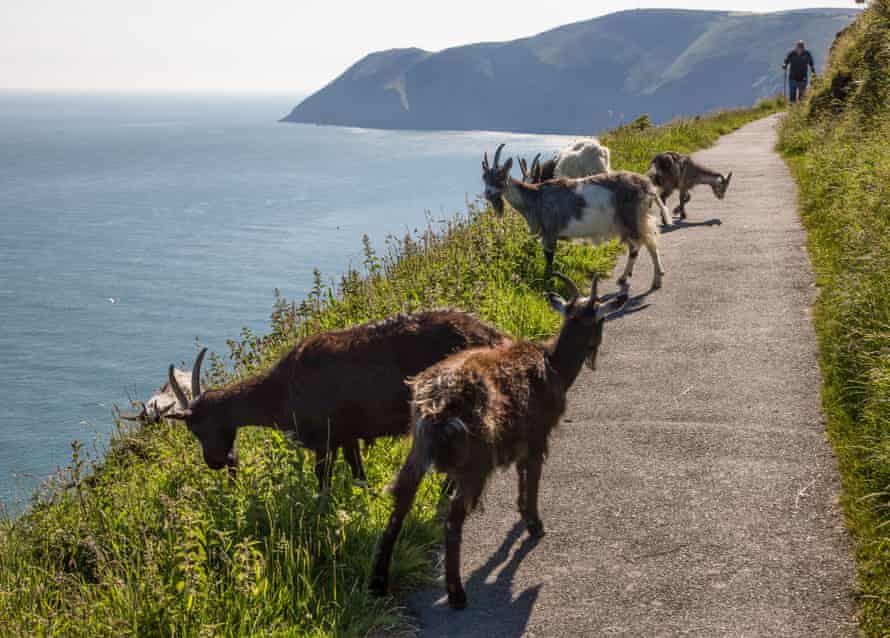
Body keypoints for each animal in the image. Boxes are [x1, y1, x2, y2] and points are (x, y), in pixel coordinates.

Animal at [163, 312, 502, 488]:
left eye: (196, 428)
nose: (215, 462)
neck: (280, 391)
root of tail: (495, 337)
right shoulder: (347, 435)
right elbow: (358, 472)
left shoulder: (324, 439)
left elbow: (322, 480)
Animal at [370, 274, 640, 608]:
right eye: (601, 319)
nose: (596, 347)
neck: (555, 366)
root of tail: (437, 404)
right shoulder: (537, 435)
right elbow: (532, 478)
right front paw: (535, 524)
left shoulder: (521, 439)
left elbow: (522, 477)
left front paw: (524, 516)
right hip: (476, 458)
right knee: (453, 518)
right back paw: (456, 592)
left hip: (419, 450)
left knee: (400, 503)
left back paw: (378, 582)